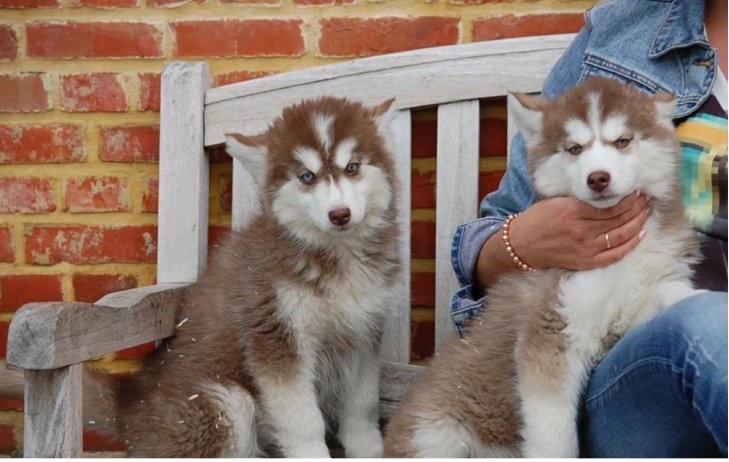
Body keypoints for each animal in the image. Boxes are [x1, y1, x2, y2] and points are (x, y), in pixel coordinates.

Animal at [76, 96, 402, 457]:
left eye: (352, 167)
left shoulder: (363, 333)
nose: (340, 214)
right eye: (307, 176)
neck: (333, 257)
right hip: (224, 402)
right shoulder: (276, 335)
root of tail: (129, 404)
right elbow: (303, 421)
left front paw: (371, 450)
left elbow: (362, 406)